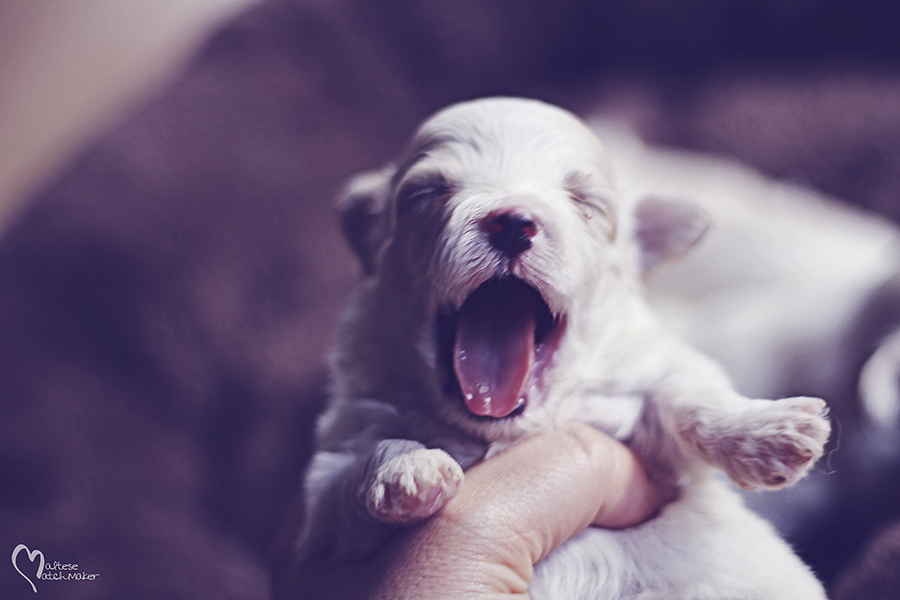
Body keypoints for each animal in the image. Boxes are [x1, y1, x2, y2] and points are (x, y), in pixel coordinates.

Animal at [300, 98, 828, 600]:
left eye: (584, 201)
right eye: (425, 193)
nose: (511, 221)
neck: (506, 432)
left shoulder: (653, 421)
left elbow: (690, 394)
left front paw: (769, 429)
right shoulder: (330, 491)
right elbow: (356, 472)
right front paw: (407, 470)